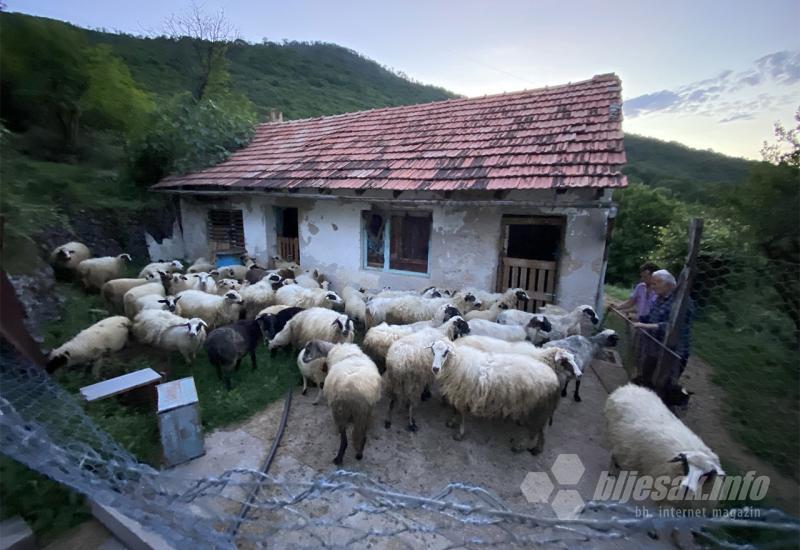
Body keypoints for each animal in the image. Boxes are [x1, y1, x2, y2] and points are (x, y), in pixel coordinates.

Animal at [432, 340, 564, 458]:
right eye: (433, 351)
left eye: (445, 353)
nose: (435, 368)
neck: (457, 363)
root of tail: (555, 381)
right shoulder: (458, 395)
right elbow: (455, 411)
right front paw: (451, 422)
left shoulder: (462, 397)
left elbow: (461, 415)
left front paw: (459, 433)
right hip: (540, 412)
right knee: (541, 431)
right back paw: (538, 449)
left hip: (536, 411)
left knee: (533, 433)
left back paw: (519, 447)